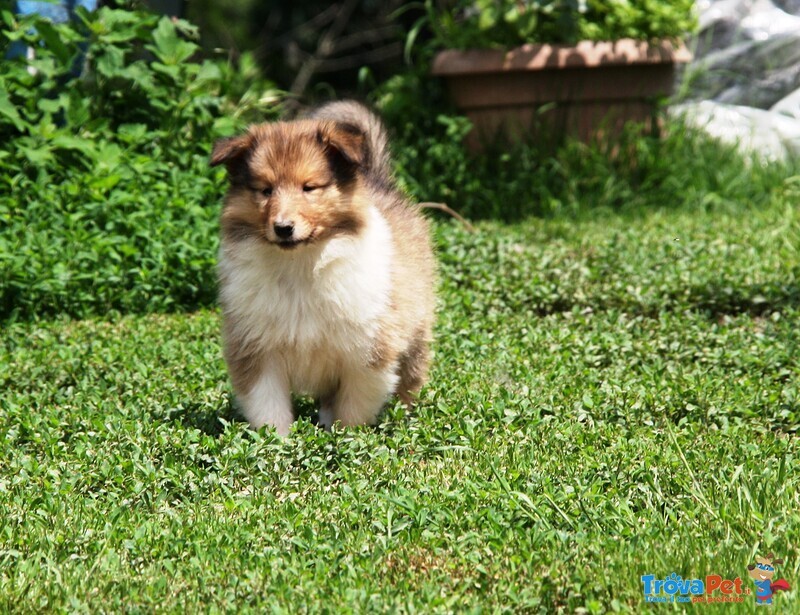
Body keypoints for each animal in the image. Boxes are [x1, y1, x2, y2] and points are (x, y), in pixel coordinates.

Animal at [211, 101, 438, 436]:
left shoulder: (368, 350)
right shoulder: (256, 347)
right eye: (265, 190)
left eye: (309, 188)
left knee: (409, 377)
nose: (283, 228)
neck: (300, 263)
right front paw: (277, 440)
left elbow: (354, 404)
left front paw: (346, 437)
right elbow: (268, 404)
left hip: (416, 329)